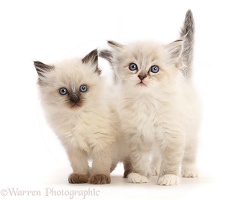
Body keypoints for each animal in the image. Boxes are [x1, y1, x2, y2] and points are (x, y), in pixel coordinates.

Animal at [33, 49, 117, 184]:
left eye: (83, 88)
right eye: (63, 91)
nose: (75, 99)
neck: (78, 117)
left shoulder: (102, 141)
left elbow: (100, 162)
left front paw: (99, 176)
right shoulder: (73, 144)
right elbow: (79, 164)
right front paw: (81, 176)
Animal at [99, 9, 200, 186]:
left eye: (154, 69)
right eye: (133, 67)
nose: (142, 76)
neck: (146, 101)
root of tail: (185, 80)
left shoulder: (173, 134)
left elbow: (171, 159)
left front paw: (168, 177)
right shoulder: (138, 136)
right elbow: (139, 159)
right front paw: (140, 175)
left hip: (191, 131)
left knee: (189, 153)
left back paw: (189, 170)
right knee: (157, 155)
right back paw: (152, 169)